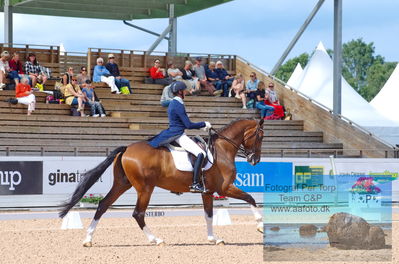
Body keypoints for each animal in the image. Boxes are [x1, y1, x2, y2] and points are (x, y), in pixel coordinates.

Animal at [59, 118, 266, 246]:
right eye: (260, 136)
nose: (255, 160)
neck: (223, 149)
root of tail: (126, 148)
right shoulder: (224, 188)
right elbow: (250, 198)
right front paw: (260, 225)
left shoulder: (207, 192)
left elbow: (208, 215)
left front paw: (213, 238)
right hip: (145, 188)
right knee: (138, 213)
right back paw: (156, 240)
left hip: (122, 184)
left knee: (102, 205)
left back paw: (88, 239)